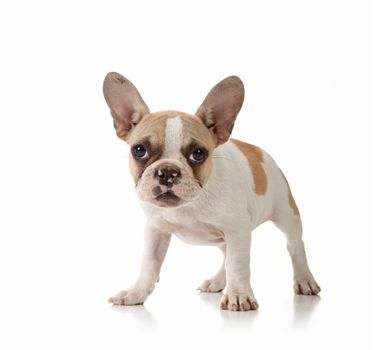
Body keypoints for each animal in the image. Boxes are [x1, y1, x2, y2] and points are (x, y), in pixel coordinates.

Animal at [102, 72, 320, 312]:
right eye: (139, 150)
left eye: (198, 154)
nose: (167, 171)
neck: (190, 204)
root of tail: (258, 151)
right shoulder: (156, 229)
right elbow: (149, 263)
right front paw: (135, 292)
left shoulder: (237, 231)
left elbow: (237, 264)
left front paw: (238, 295)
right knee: (226, 254)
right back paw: (217, 281)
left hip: (286, 214)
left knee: (295, 245)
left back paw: (304, 280)